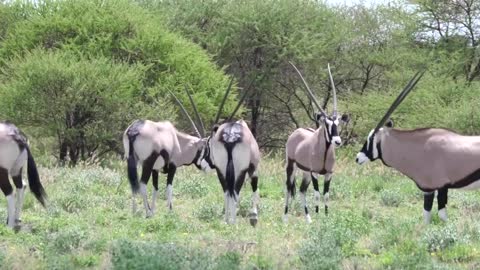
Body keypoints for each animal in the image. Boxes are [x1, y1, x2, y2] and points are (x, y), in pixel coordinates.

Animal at [123, 89, 213, 218]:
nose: (206, 167)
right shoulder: (172, 167)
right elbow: (169, 187)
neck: (178, 141)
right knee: (142, 184)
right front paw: (170, 211)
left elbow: (155, 188)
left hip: (132, 160)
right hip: (147, 163)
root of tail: (134, 130)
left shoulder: (155, 170)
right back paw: (147, 212)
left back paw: (134, 211)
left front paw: (154, 210)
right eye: (205, 149)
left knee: (133, 183)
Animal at [284, 62, 350, 223]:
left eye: (338, 123)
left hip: (305, 172)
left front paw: (325, 217)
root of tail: (296, 132)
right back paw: (285, 218)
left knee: (301, 190)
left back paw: (308, 219)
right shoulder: (314, 173)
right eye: (326, 124)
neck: (324, 152)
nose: (337, 141)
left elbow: (326, 195)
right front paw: (319, 216)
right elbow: (317, 194)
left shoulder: (328, 174)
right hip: (291, 166)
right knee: (288, 188)